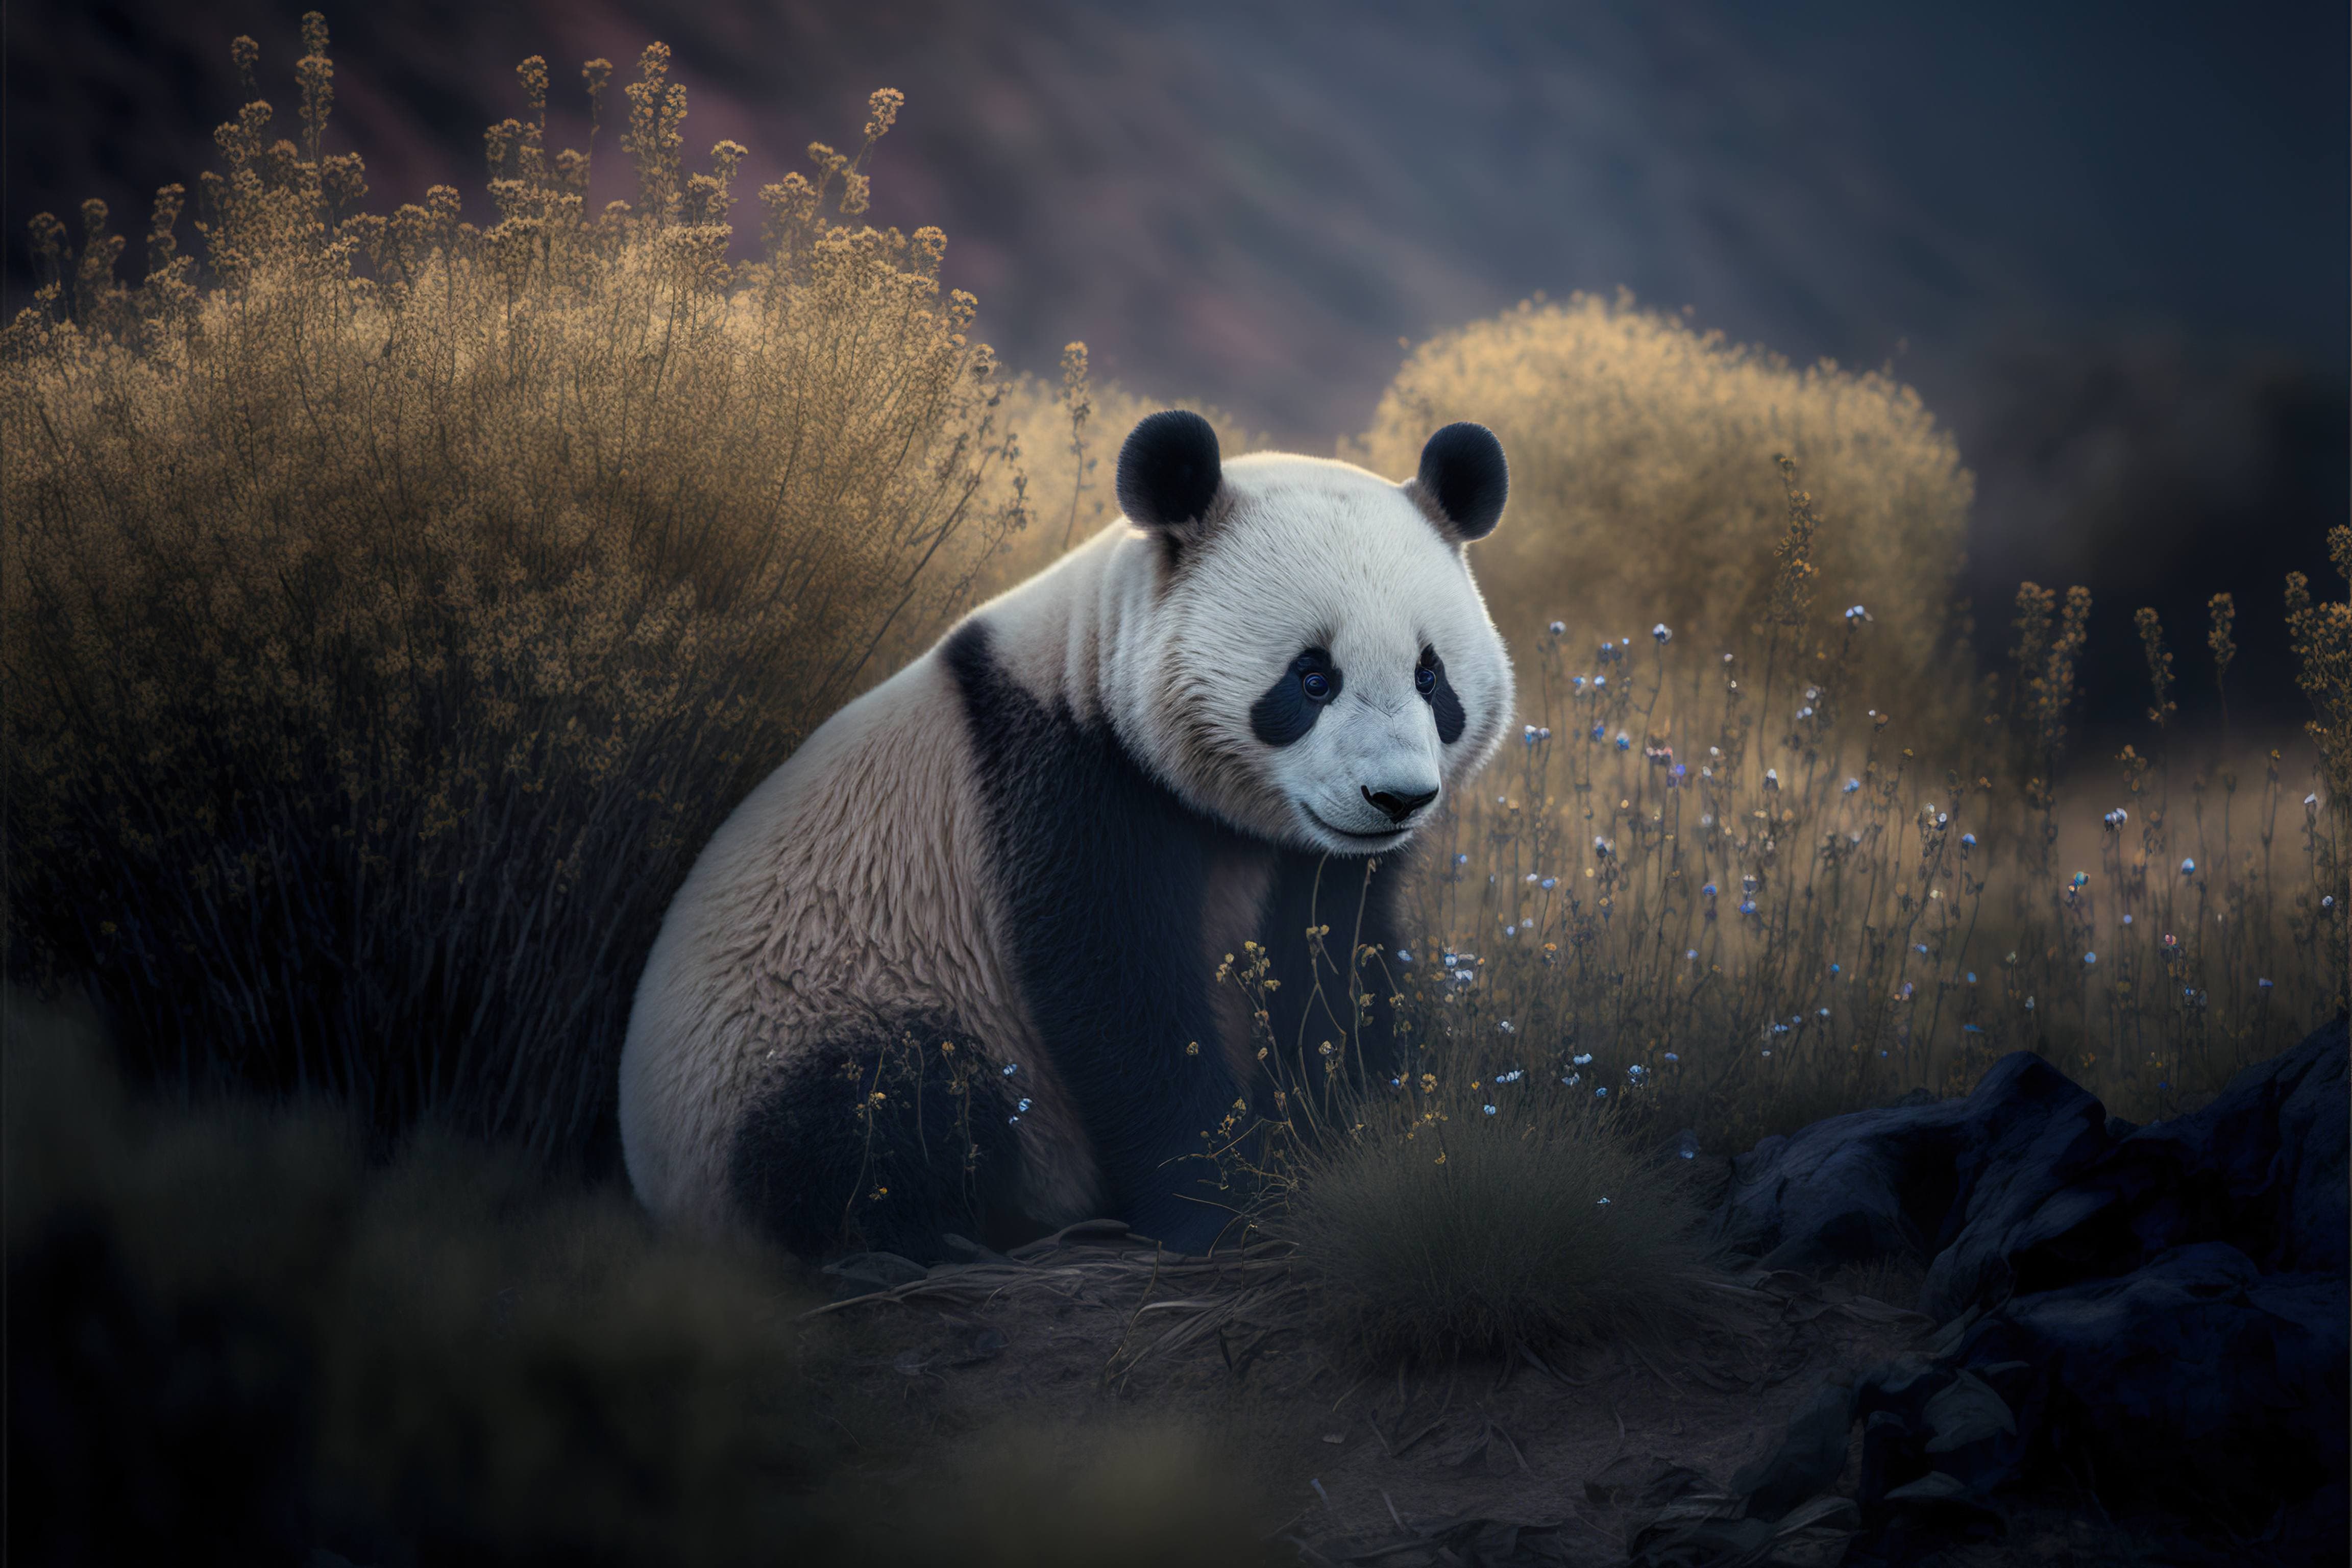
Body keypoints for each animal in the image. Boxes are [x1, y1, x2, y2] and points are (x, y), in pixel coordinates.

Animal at [618, 411, 1513, 1259]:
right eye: (1312, 677)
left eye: (1430, 676)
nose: (1395, 798)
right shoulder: (1067, 776)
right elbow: (1114, 991)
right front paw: (1219, 1206)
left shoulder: (1315, 862)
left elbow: (1333, 967)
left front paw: (1358, 1143)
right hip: (793, 1025)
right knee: (878, 1109)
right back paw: (908, 1244)